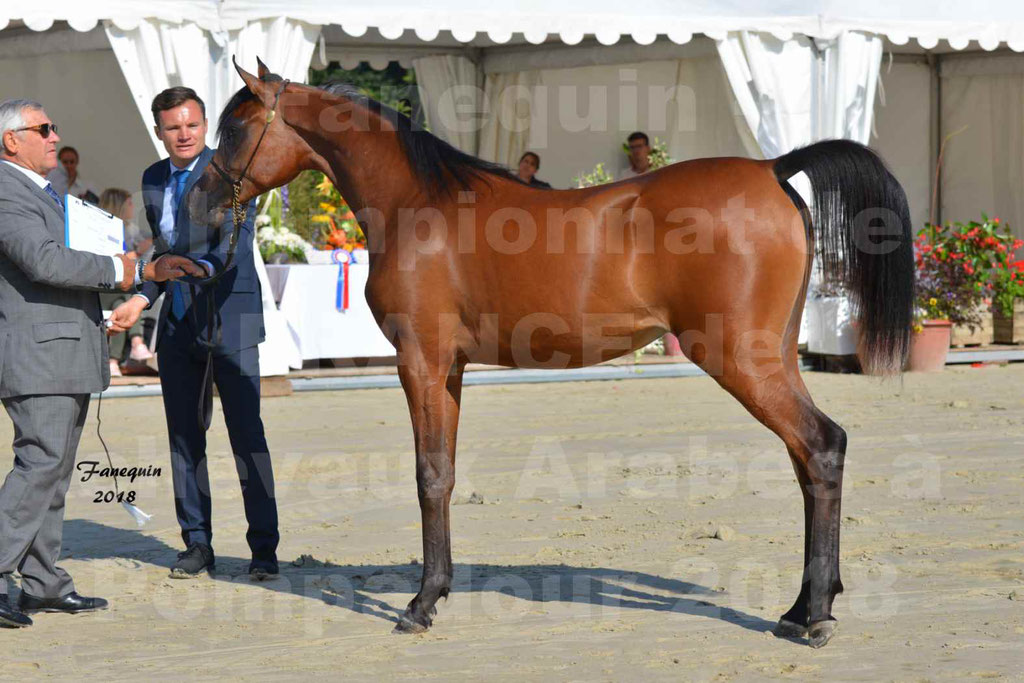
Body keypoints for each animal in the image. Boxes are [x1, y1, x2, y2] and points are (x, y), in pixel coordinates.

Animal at [190, 57, 913, 647]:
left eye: (236, 130)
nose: (199, 201)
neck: (420, 204)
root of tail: (770, 168)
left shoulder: (420, 360)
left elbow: (428, 476)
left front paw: (419, 605)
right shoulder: (449, 368)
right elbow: (445, 473)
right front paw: (437, 590)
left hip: (740, 358)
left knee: (821, 445)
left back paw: (814, 617)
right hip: (773, 357)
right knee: (809, 459)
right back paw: (800, 607)